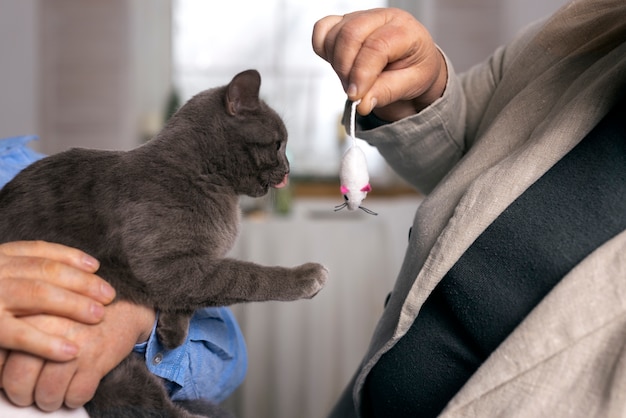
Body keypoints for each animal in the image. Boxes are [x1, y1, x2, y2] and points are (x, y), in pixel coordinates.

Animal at [0, 70, 330, 416]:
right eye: (278, 144)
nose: (289, 170)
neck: (206, 177)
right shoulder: (164, 264)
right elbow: (243, 276)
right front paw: (306, 276)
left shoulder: (185, 268)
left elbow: (192, 296)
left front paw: (171, 333)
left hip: (117, 376)